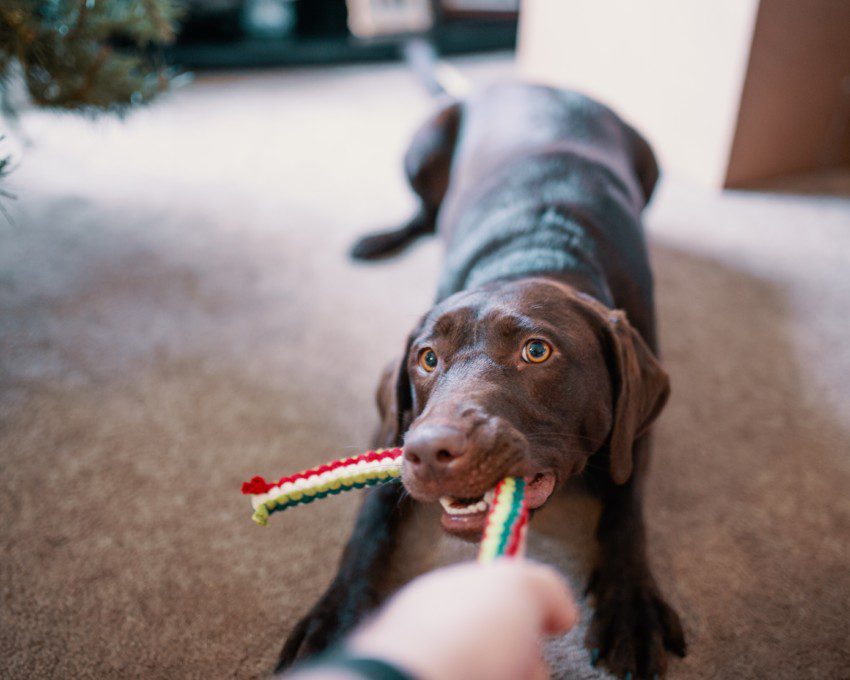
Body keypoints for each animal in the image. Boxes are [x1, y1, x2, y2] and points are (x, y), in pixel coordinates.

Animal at [282, 82, 684, 676]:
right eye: (427, 359)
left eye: (537, 351)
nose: (430, 451)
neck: (536, 252)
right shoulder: (396, 425)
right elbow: (369, 519)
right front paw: (335, 616)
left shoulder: (636, 427)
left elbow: (626, 507)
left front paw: (631, 605)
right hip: (424, 144)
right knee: (425, 214)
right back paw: (380, 239)